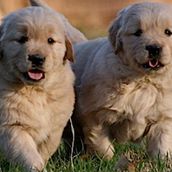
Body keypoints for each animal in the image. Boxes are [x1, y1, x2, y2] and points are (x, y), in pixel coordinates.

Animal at [0, 2, 74, 172]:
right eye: (22, 39)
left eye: (50, 40)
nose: (37, 58)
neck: (36, 91)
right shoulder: (12, 126)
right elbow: (27, 153)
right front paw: (36, 167)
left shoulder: (54, 128)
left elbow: (45, 150)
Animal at [74, 2, 172, 159]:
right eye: (137, 32)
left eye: (168, 32)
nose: (154, 48)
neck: (143, 80)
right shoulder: (95, 114)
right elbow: (101, 142)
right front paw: (106, 160)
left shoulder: (163, 116)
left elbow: (162, 143)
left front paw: (162, 160)